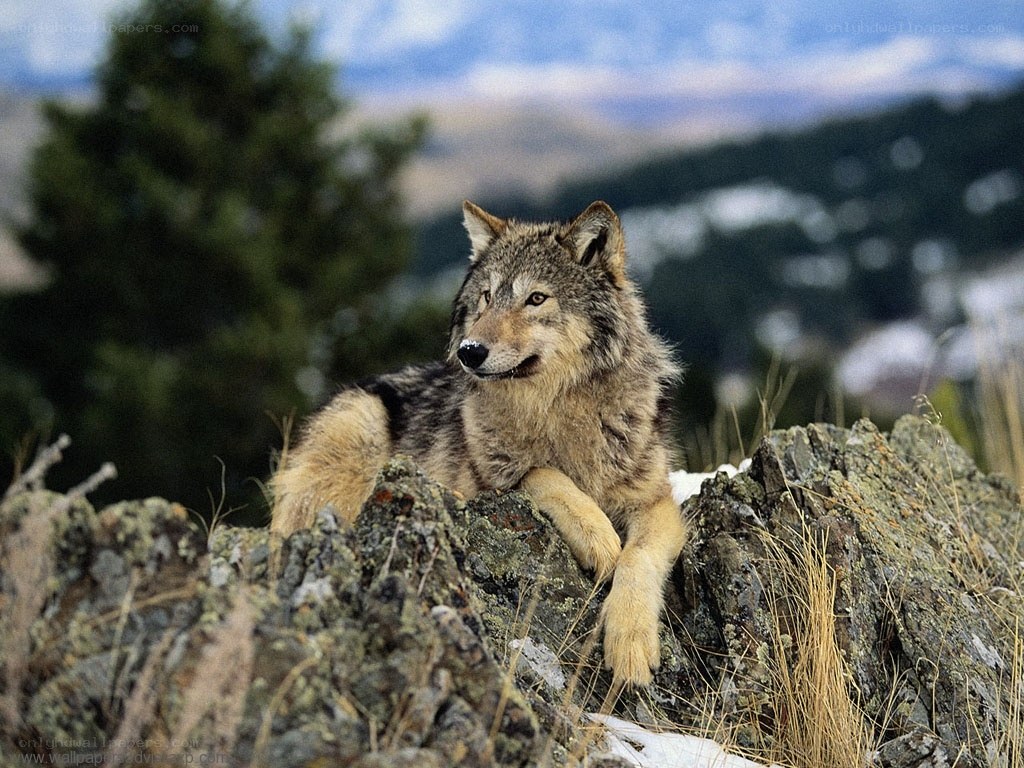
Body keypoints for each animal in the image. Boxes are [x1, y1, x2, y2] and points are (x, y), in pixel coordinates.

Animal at [271, 200, 688, 687]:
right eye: (487, 297)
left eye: (536, 298)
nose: (469, 351)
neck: (555, 412)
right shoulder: (486, 484)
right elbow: (541, 474)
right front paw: (598, 536)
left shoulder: (656, 502)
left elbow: (638, 559)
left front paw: (632, 644)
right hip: (361, 427)